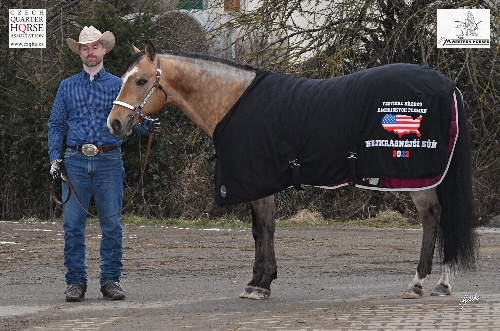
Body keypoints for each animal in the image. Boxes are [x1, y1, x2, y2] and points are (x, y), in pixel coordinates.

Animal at [108, 41, 476, 300]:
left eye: (141, 80)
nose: (114, 124)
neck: (232, 101)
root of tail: (448, 85)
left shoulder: (258, 181)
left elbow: (263, 230)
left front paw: (258, 284)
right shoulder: (260, 183)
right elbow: (263, 230)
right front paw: (262, 280)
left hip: (417, 174)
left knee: (432, 217)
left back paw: (418, 282)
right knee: (440, 218)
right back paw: (441, 282)